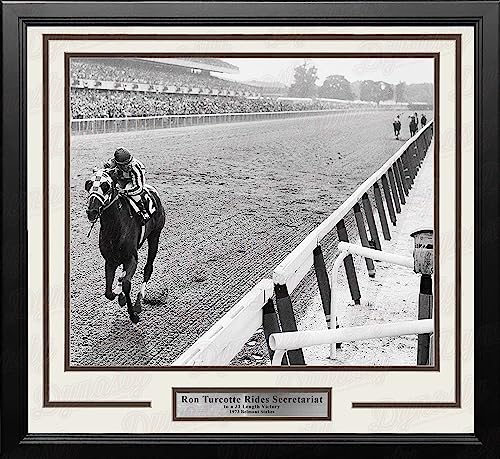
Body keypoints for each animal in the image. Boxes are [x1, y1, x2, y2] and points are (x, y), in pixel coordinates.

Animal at [84, 169, 166, 324]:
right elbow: (108, 292)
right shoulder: (110, 261)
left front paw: (133, 314)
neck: (115, 227)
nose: (92, 211)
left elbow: (127, 284)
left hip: (155, 236)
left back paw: (139, 301)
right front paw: (119, 294)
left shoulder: (131, 258)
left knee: (148, 268)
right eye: (89, 184)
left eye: (105, 186)